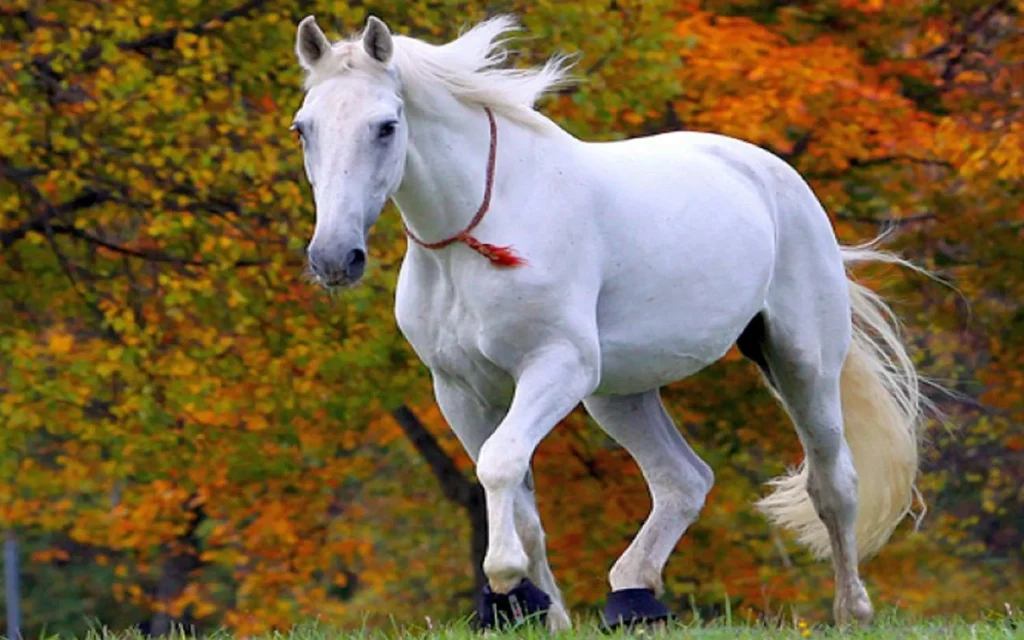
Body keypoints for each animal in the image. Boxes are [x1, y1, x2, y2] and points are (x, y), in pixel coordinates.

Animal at [290, 14, 926, 631]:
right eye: (303, 128)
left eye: (386, 126)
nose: (334, 258)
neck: (479, 231)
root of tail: (774, 175)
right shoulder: (460, 391)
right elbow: (521, 501)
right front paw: (543, 613)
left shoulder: (557, 367)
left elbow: (500, 463)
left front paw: (505, 578)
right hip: (621, 394)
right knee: (682, 481)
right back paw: (633, 598)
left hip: (800, 365)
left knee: (832, 483)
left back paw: (851, 611)